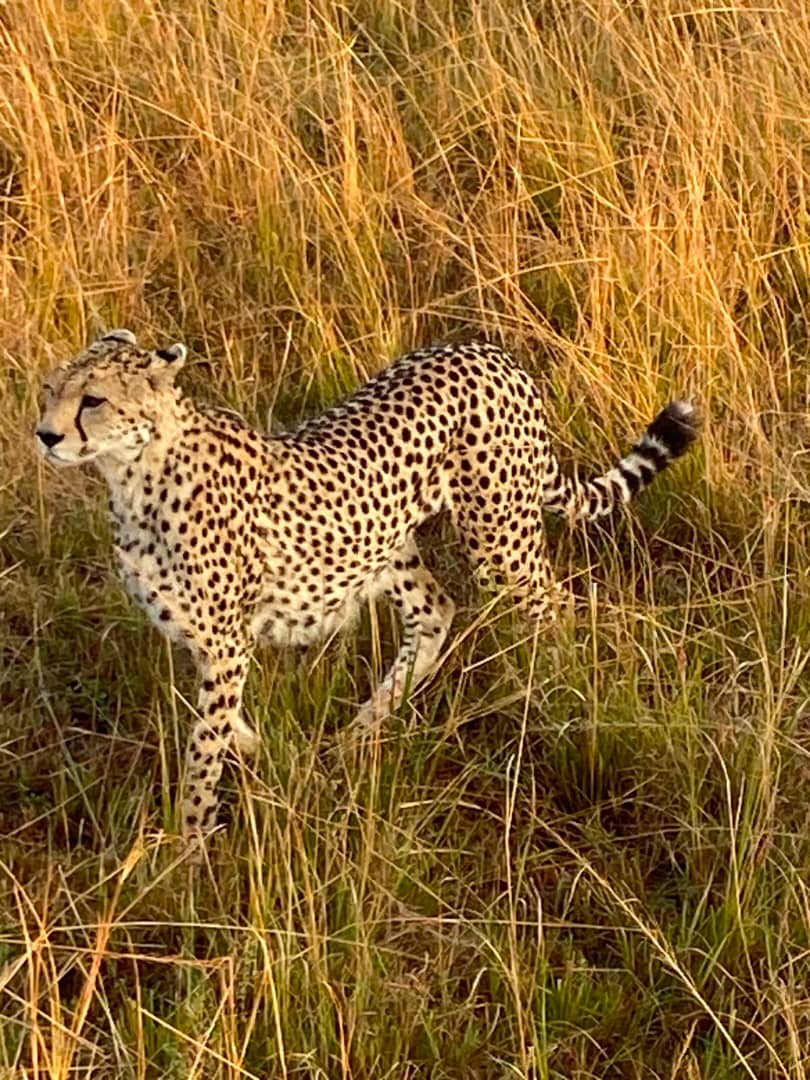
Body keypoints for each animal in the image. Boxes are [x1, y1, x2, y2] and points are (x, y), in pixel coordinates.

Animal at [36, 329, 699, 840]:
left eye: (93, 400)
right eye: (50, 391)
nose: (46, 435)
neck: (134, 474)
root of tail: (491, 353)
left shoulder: (224, 639)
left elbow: (204, 745)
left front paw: (189, 846)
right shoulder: (201, 634)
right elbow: (219, 721)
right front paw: (267, 753)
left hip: (498, 538)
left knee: (552, 606)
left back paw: (559, 697)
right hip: (385, 544)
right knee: (436, 610)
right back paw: (354, 738)